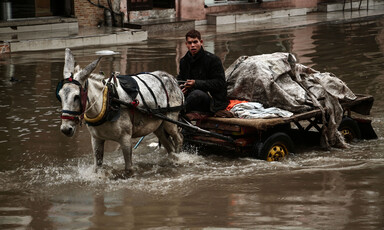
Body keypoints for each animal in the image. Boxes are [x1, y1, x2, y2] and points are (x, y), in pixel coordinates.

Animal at [57, 48, 184, 177]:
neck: (108, 103)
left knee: (179, 139)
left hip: (170, 121)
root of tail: (171, 78)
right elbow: (97, 167)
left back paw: (180, 159)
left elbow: (129, 169)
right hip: (158, 126)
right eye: (60, 96)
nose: (66, 129)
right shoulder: (96, 139)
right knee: (170, 147)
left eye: (76, 97)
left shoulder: (126, 139)